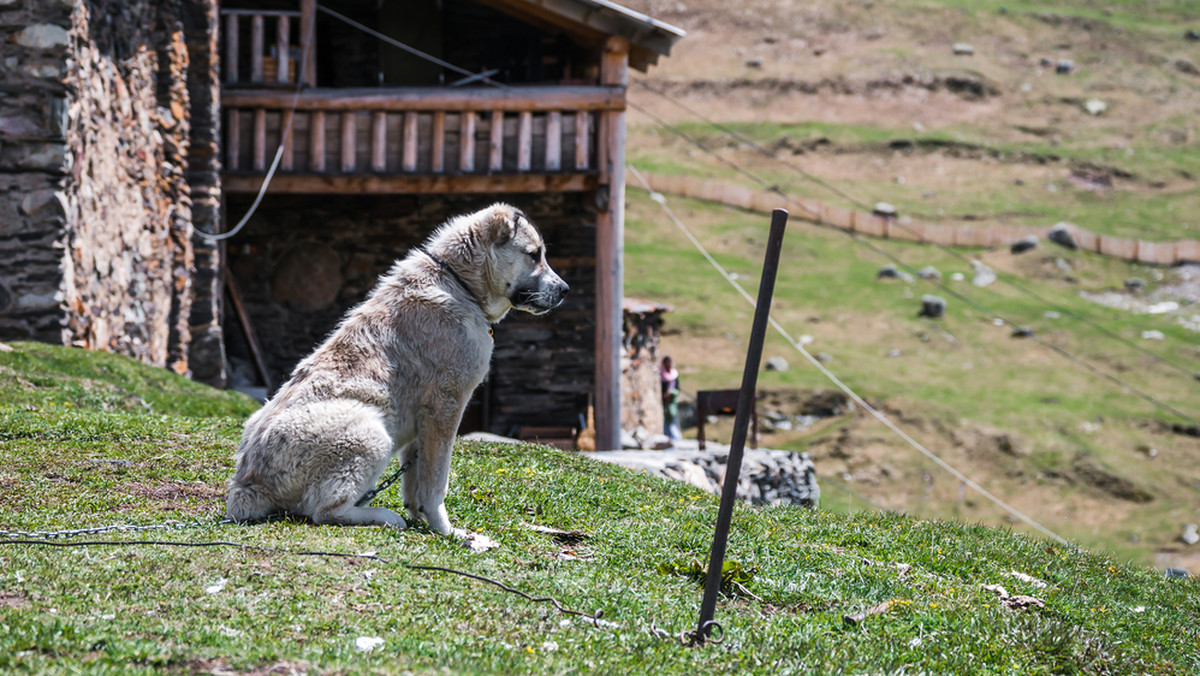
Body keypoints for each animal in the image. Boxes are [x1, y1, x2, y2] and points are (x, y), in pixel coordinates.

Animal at [225, 204, 571, 537]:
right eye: (534, 254)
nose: (566, 289)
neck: (459, 283)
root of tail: (247, 486)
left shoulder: (425, 421)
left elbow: (415, 481)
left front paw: (423, 519)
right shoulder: (445, 407)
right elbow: (436, 480)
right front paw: (447, 530)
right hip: (371, 432)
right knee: (323, 510)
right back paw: (384, 517)